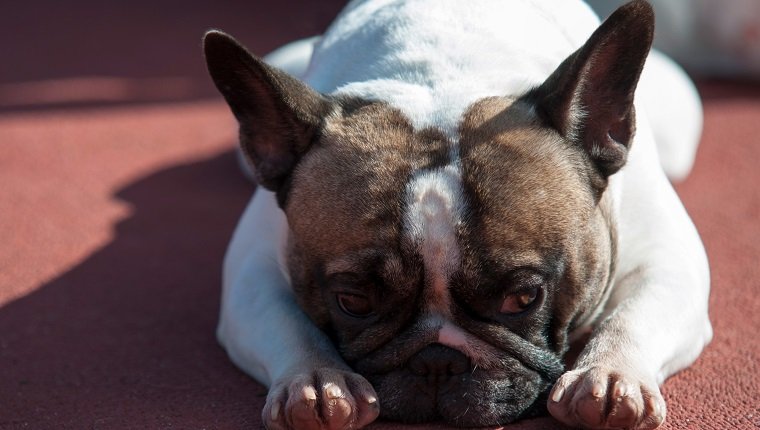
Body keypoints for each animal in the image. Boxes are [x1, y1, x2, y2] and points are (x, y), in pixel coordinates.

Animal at [203, 1, 712, 428]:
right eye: (353, 301)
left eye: (524, 299)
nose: (438, 362)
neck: (442, 77)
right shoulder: (250, 273)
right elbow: (287, 323)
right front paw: (314, 379)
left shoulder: (670, 261)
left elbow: (634, 314)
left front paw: (608, 374)